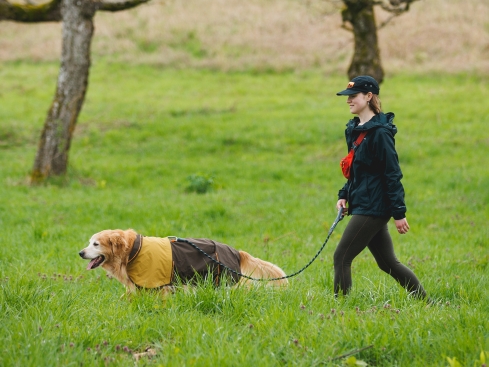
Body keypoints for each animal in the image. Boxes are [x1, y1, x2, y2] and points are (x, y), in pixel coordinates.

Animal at [78, 230, 288, 296]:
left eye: (96, 244)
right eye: (88, 242)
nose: (80, 252)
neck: (132, 251)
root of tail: (236, 252)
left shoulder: (158, 285)